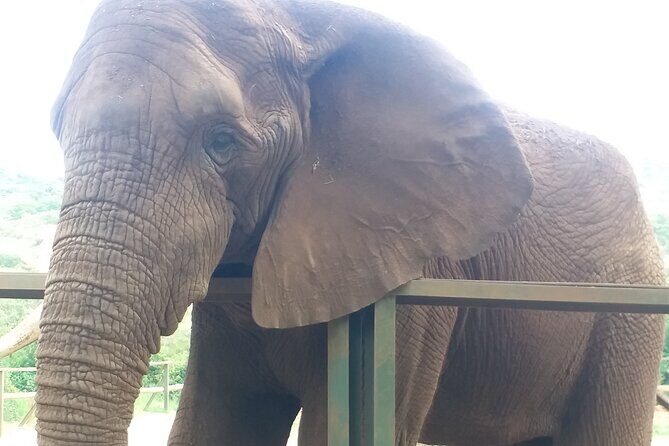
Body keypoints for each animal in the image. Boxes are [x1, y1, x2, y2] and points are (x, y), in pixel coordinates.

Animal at [32, 0, 664, 444]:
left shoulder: (415, 280)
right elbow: (217, 426)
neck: (301, 23)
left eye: (222, 143)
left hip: (627, 320)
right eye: (59, 131)